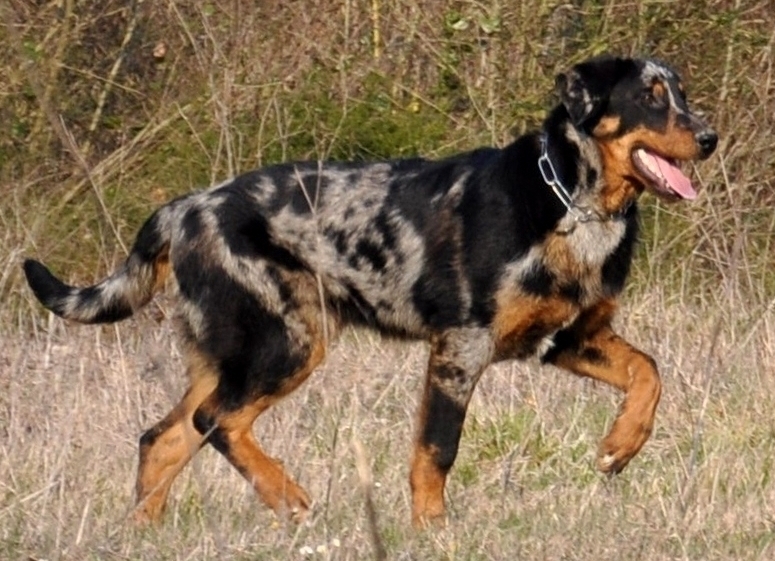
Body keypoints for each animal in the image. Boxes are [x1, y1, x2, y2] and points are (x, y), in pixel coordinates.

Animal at [22, 54, 716, 528]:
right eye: (652, 97)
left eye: (681, 93)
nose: (709, 137)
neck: (575, 204)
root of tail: (183, 208)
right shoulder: (460, 348)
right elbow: (436, 451)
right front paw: (433, 532)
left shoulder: (571, 337)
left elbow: (649, 374)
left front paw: (621, 447)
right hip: (287, 342)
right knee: (214, 421)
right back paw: (288, 496)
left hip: (233, 354)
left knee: (165, 437)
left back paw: (146, 532)